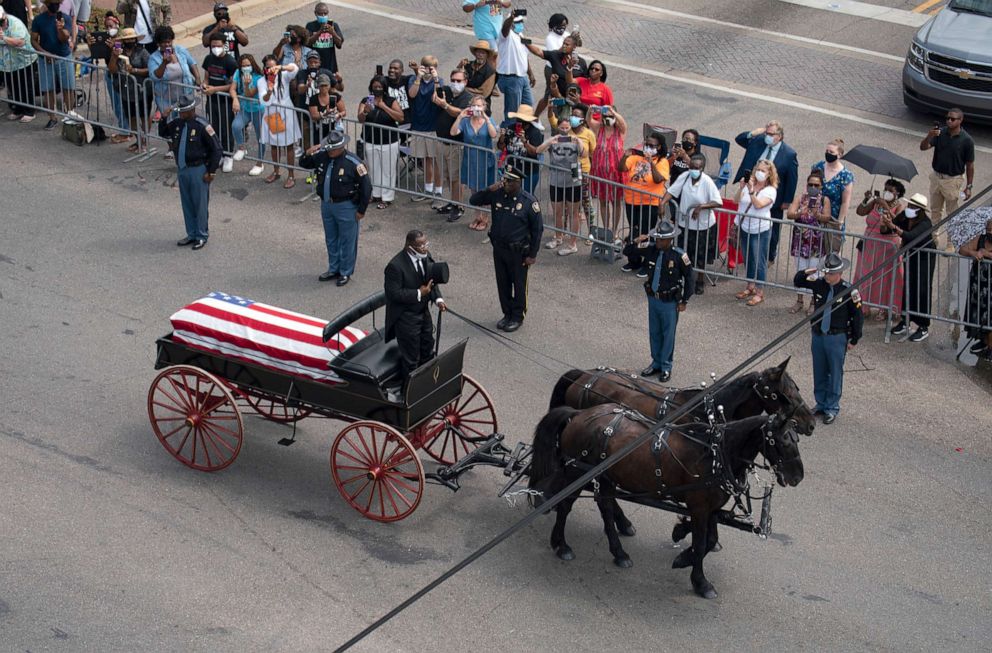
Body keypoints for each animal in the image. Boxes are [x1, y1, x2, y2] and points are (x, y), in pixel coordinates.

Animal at [532, 404, 804, 600]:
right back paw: (561, 544)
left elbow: (710, 541)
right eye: (781, 441)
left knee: (606, 508)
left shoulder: (710, 508)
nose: (798, 477)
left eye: (796, 440)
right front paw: (700, 581)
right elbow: (701, 542)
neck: (716, 454)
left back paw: (619, 552)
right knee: (565, 505)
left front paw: (683, 553)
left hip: (605, 478)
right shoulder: (700, 508)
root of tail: (579, 414)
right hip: (576, 472)